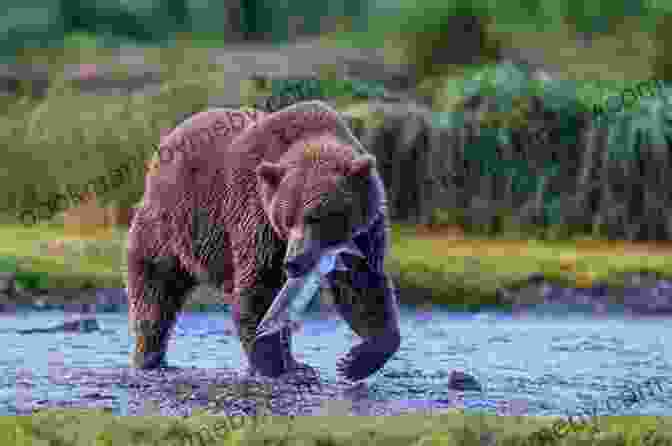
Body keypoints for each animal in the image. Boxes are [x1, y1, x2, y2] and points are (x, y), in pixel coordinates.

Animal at [127, 100, 400, 380]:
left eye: (316, 217)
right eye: (286, 220)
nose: (294, 261)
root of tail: (166, 142)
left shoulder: (364, 231)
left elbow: (363, 285)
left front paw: (356, 361)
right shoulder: (257, 216)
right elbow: (259, 286)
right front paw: (272, 363)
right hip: (173, 223)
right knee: (157, 287)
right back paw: (150, 357)